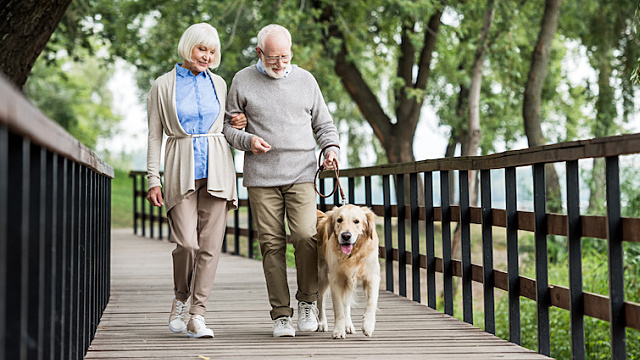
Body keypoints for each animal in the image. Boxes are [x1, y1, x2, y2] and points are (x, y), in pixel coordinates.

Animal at [316, 204, 380, 338]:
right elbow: (339, 308)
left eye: (356, 221)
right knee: (320, 298)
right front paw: (338, 331)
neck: (353, 255)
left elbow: (371, 302)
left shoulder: (372, 276)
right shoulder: (335, 279)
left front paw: (368, 325)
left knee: (346, 303)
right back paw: (322, 323)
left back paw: (348, 325)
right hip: (322, 275)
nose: (346, 236)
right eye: (339, 220)